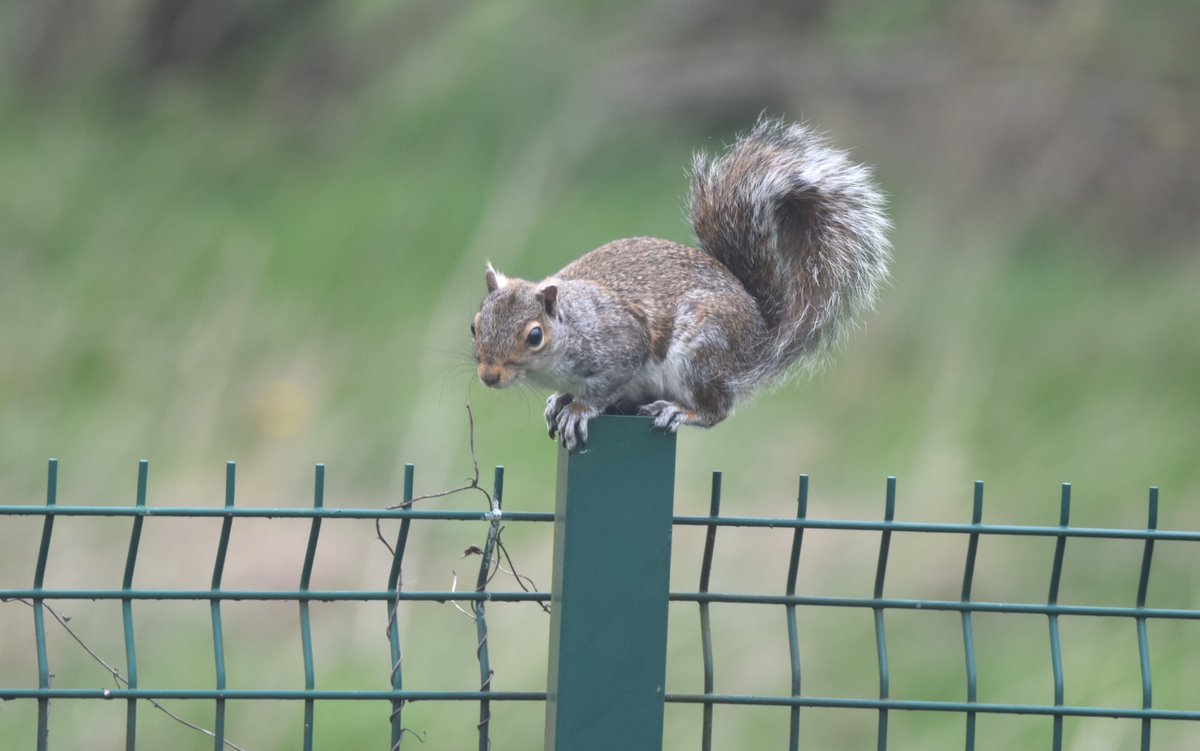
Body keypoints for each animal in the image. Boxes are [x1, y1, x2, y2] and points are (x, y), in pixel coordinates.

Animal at [471, 117, 891, 451]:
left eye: (534, 336)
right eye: (474, 326)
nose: (489, 376)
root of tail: (758, 338)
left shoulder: (620, 346)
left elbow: (604, 386)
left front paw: (578, 408)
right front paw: (558, 400)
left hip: (700, 354)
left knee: (716, 410)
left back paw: (679, 411)